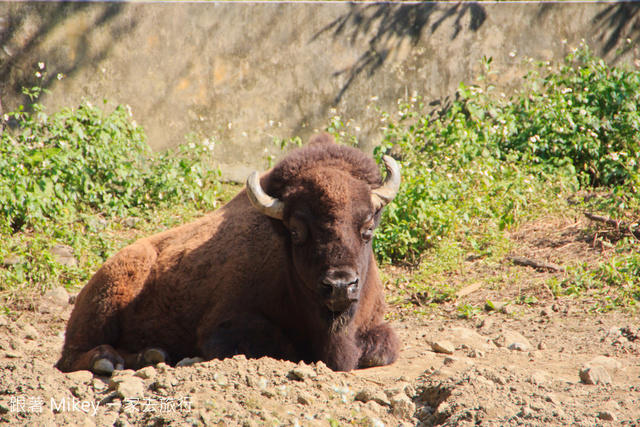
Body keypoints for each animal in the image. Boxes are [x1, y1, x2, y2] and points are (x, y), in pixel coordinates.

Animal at [57, 135, 402, 374]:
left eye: (368, 228)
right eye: (295, 231)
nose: (340, 285)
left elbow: (384, 347)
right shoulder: (223, 327)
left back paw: (151, 355)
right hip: (106, 298)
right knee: (72, 355)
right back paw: (107, 361)